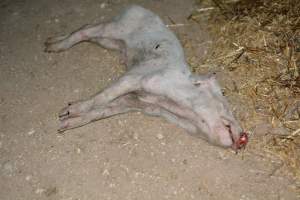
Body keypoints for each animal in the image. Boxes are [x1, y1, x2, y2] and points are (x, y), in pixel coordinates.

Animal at [44, 4, 247, 150]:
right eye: (222, 97)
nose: (245, 137)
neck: (166, 104)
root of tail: (136, 7)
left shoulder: (132, 103)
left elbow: (102, 111)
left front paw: (63, 125)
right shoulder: (137, 77)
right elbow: (103, 96)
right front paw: (66, 110)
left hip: (108, 41)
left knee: (86, 29)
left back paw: (49, 42)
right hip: (114, 29)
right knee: (84, 31)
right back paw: (50, 48)